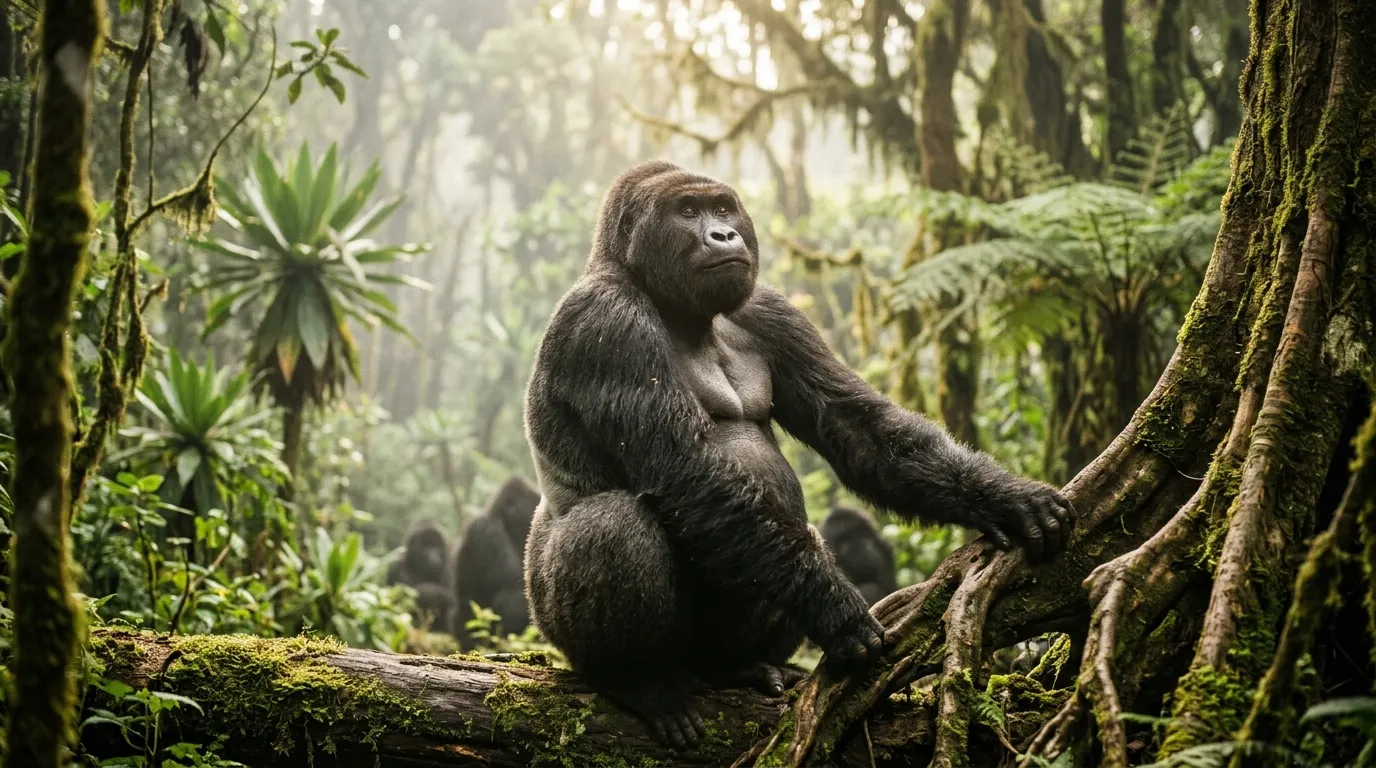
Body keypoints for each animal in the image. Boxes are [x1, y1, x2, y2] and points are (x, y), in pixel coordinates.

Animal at [522, 160, 1075, 749]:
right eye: (687, 211)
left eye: (722, 208)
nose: (724, 235)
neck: (678, 308)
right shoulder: (607, 321)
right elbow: (684, 467)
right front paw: (835, 610)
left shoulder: (770, 311)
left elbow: (858, 428)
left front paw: (1006, 498)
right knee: (614, 523)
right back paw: (641, 679)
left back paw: (738, 665)